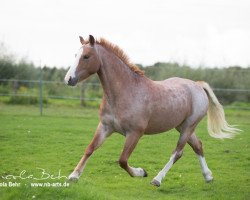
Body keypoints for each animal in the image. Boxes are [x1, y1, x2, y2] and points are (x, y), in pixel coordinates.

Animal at [63, 35, 239, 187]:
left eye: (86, 56)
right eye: (75, 55)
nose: (68, 79)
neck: (126, 91)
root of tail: (197, 85)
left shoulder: (135, 133)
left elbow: (123, 160)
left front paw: (141, 172)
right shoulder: (105, 127)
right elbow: (90, 149)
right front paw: (73, 176)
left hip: (189, 126)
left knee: (178, 152)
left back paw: (157, 179)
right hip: (182, 126)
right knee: (198, 146)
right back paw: (208, 176)